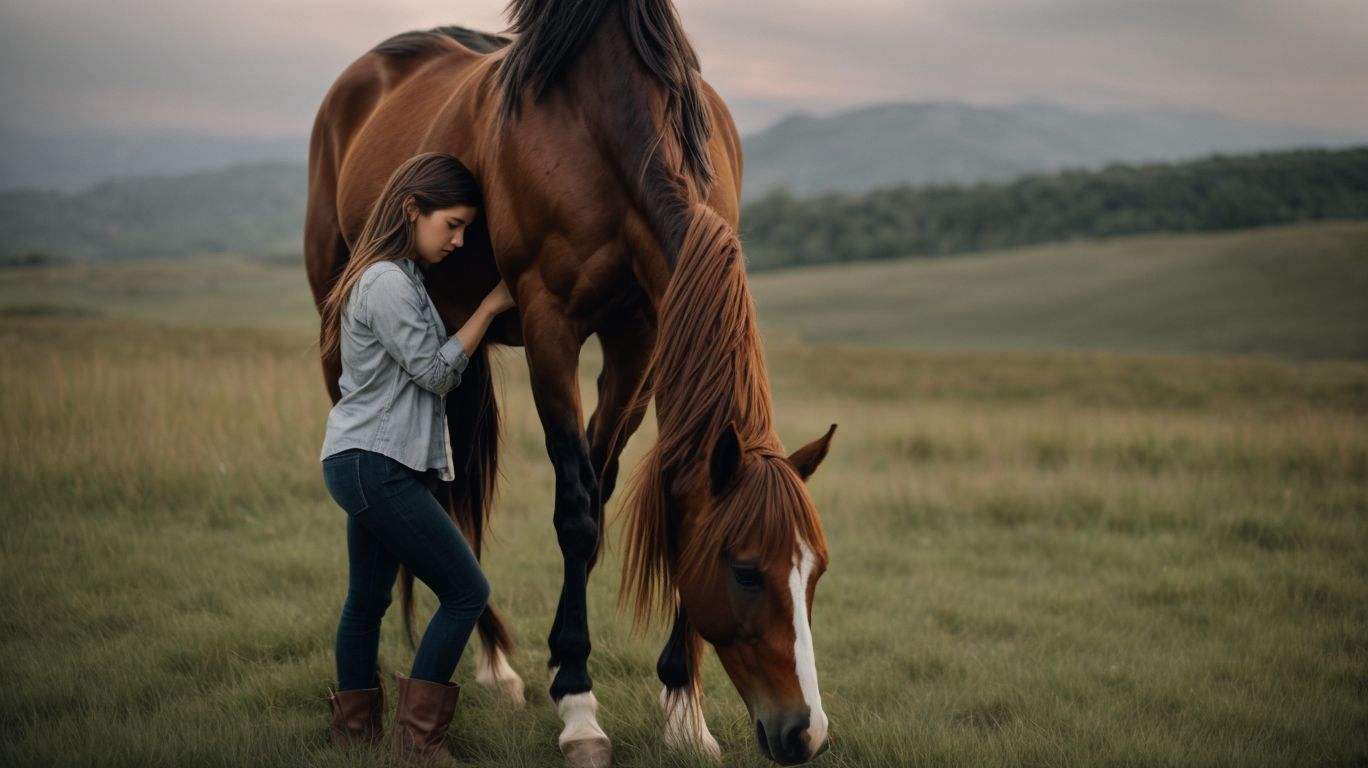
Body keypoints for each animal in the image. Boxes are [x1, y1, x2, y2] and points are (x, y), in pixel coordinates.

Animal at [303, 2, 837, 764]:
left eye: (815, 570)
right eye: (744, 570)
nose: (804, 732)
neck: (609, 122)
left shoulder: (644, 335)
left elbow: (648, 489)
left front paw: (683, 710)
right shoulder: (551, 330)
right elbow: (578, 514)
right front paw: (579, 703)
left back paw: (494, 659)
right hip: (340, 326)